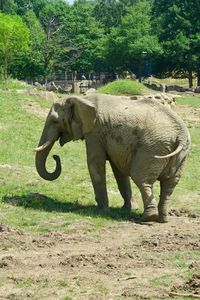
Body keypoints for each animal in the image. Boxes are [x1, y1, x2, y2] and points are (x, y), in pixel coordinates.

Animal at [34, 94, 191, 223]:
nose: (55, 156)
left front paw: (101, 211)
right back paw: (162, 219)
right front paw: (126, 209)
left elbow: (95, 163)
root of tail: (180, 135)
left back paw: (147, 218)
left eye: (55, 121)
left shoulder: (95, 132)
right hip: (180, 154)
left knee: (141, 179)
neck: (81, 99)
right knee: (169, 184)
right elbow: (118, 170)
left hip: (152, 148)